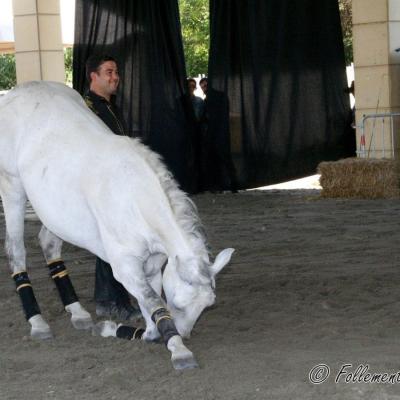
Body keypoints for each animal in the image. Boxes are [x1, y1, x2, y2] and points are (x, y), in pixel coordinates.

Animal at [0, 80, 233, 368]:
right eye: (178, 305)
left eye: (206, 306)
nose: (185, 333)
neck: (134, 197)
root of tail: (16, 92)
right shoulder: (125, 267)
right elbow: (154, 301)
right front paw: (178, 349)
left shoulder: (152, 263)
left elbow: (150, 300)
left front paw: (148, 333)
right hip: (12, 188)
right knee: (16, 251)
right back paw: (37, 322)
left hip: (55, 213)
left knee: (49, 244)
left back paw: (77, 312)